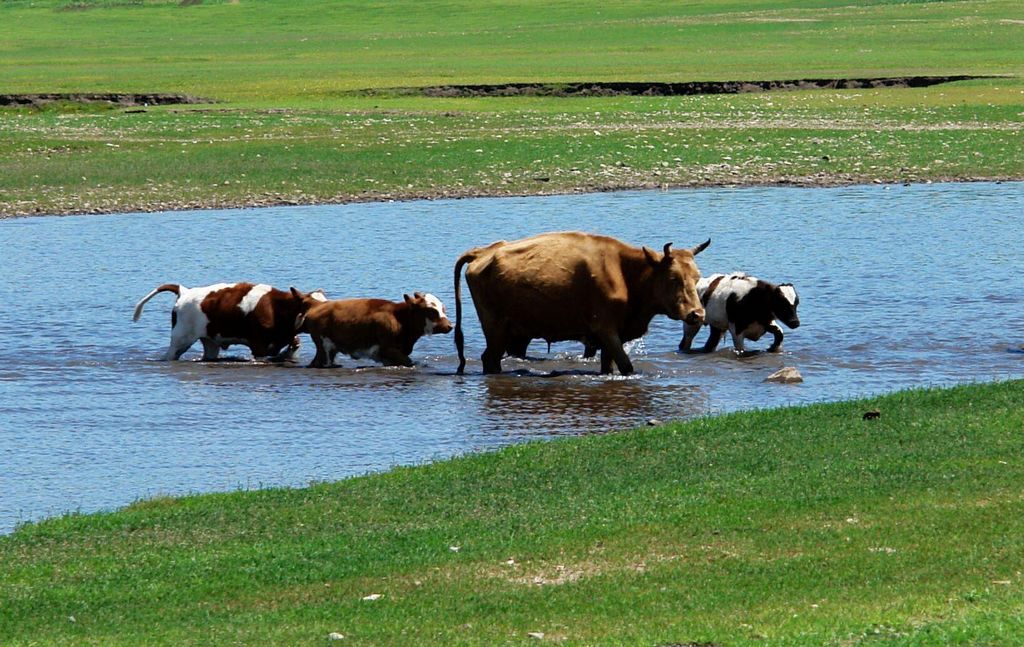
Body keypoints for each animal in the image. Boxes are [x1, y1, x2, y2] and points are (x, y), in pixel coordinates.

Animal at [132, 282, 323, 362]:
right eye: (309, 305)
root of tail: (185, 291)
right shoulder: (258, 346)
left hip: (209, 341)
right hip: (181, 339)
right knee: (170, 355)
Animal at [299, 290, 454, 366]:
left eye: (443, 309)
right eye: (431, 310)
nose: (449, 326)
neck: (399, 318)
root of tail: (317, 306)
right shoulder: (388, 349)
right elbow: (409, 362)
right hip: (324, 347)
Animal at [452, 231, 708, 374]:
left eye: (697, 277)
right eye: (673, 278)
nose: (697, 314)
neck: (626, 273)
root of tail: (484, 252)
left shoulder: (611, 337)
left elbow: (609, 366)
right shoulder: (606, 329)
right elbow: (626, 366)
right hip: (495, 327)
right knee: (489, 358)